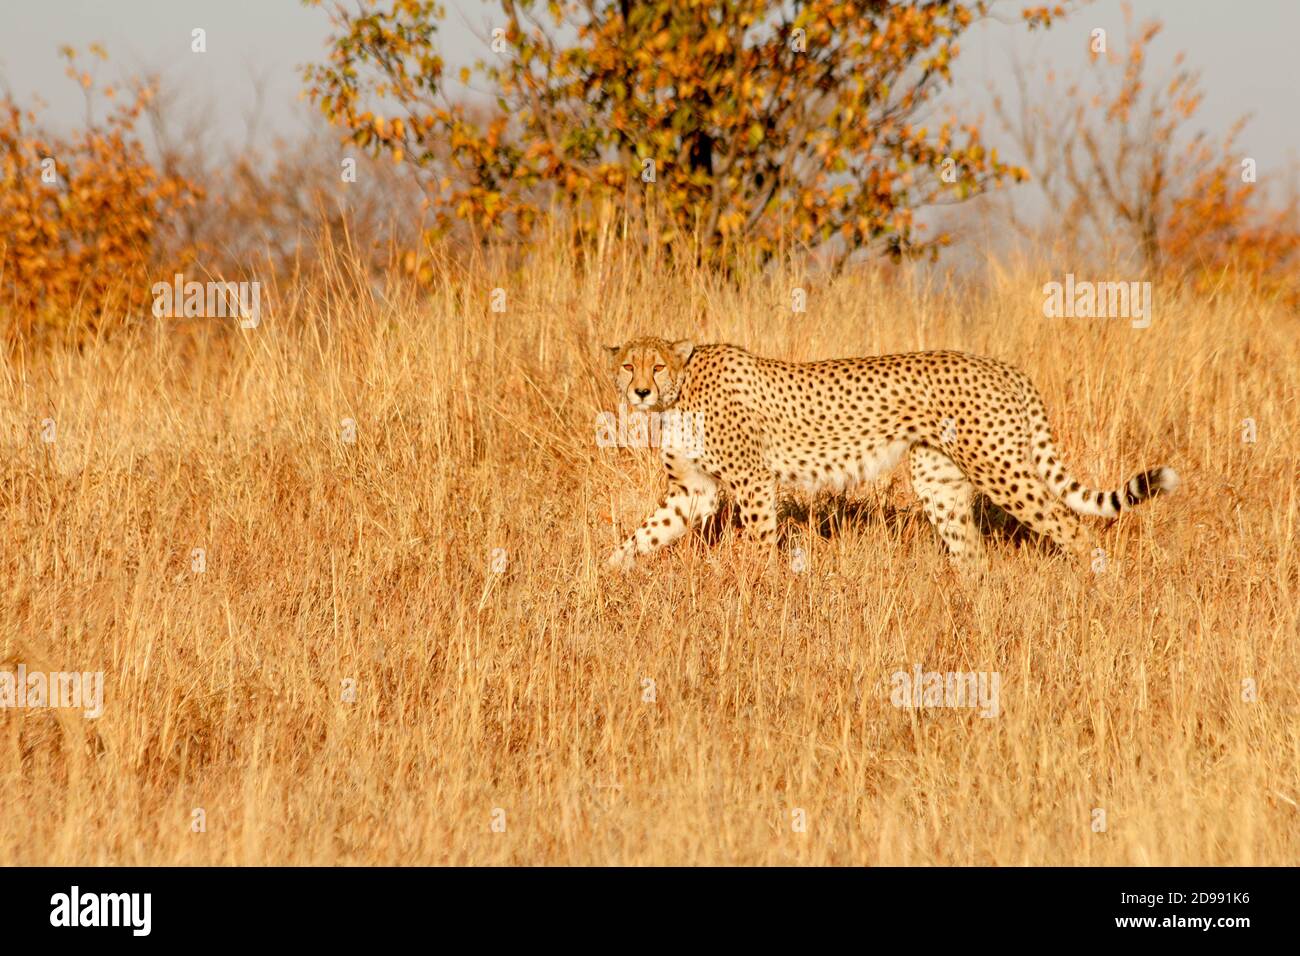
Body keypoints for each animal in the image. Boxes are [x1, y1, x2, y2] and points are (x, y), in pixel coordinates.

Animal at [598, 338, 1180, 567]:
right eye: (628, 365)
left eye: (656, 366)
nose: (640, 392)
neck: (681, 391)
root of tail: (1003, 365)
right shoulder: (692, 491)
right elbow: (644, 534)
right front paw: (602, 576)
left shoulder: (753, 481)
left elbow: (761, 541)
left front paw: (758, 590)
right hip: (939, 479)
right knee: (972, 553)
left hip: (1000, 469)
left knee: (1072, 527)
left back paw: (1100, 587)